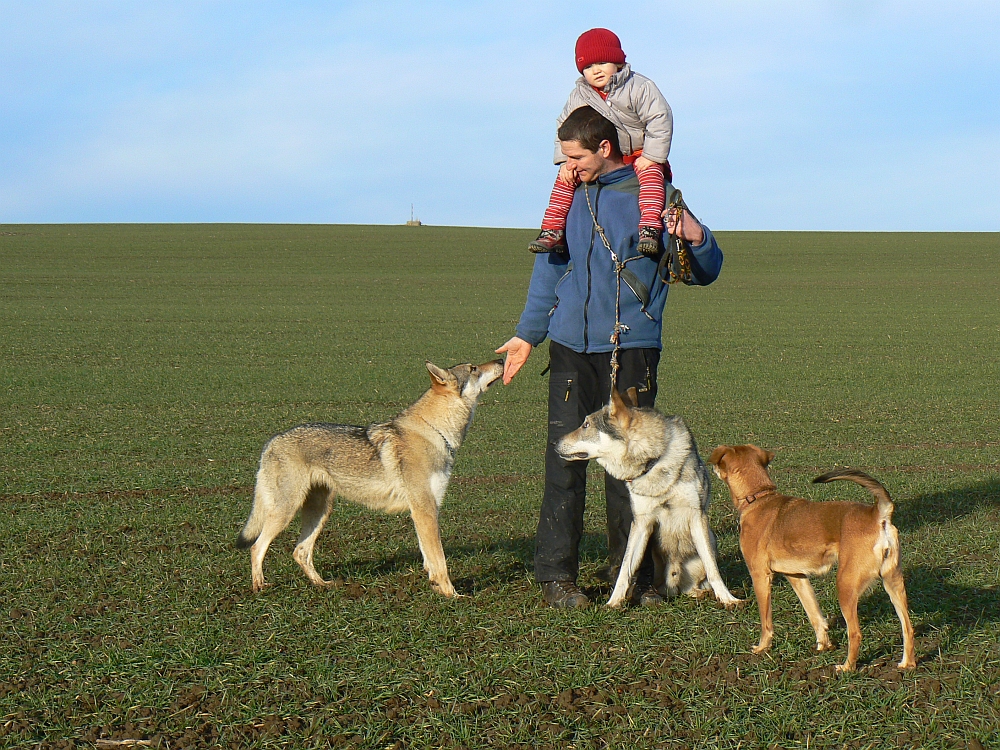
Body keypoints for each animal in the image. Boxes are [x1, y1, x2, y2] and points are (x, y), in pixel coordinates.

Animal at [704, 446, 916, 676]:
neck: (759, 498)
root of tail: (878, 515)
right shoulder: (797, 577)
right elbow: (814, 614)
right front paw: (824, 645)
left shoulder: (760, 575)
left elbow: (766, 621)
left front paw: (762, 648)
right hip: (893, 583)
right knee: (908, 628)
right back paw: (907, 664)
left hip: (846, 585)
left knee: (856, 633)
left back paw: (847, 667)